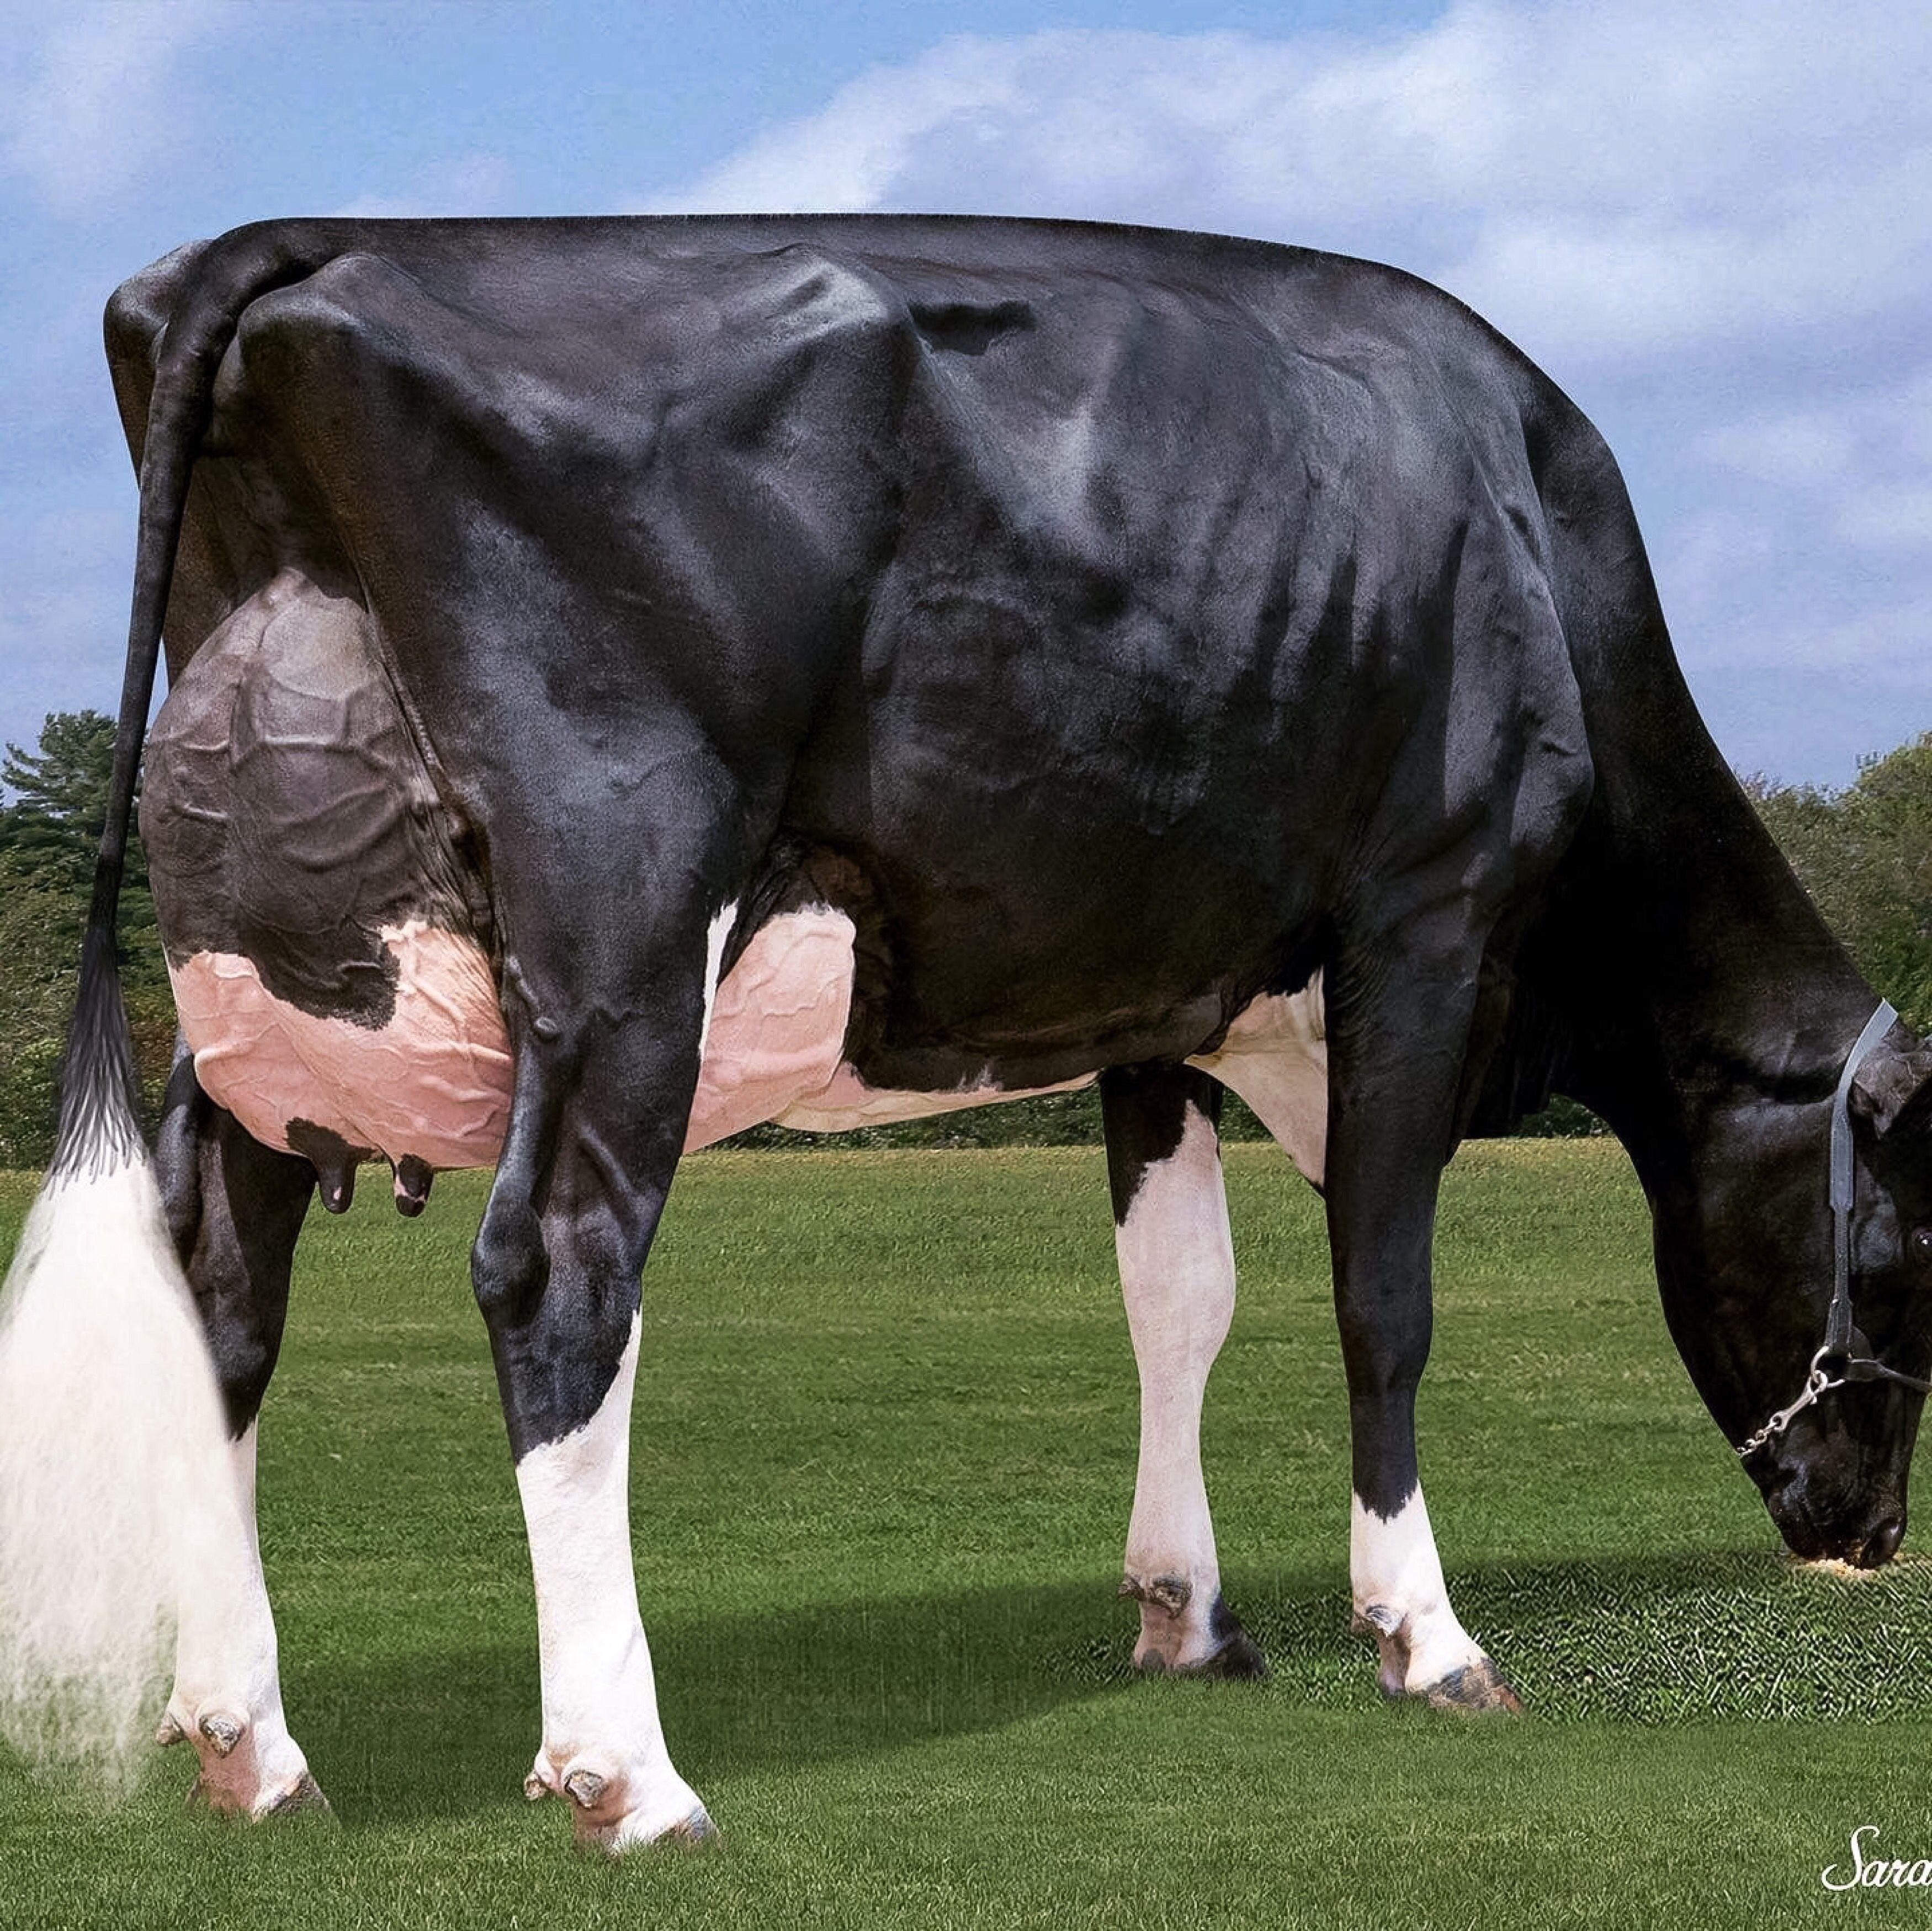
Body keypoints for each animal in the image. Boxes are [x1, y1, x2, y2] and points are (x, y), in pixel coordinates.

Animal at [3, 215, 1932, 1855]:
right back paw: (627, 1773)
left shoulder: (1158, 989)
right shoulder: (1427, 919)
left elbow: (1177, 1295)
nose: (1871, 1537)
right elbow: (1380, 1301)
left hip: (260, 964)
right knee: (556, 1273)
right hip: (625, 919)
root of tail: (302, 244)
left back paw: (250, 1743)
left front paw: (1186, 1613)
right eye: (1901, 1260)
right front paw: (1426, 1635)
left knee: (220, 1282)